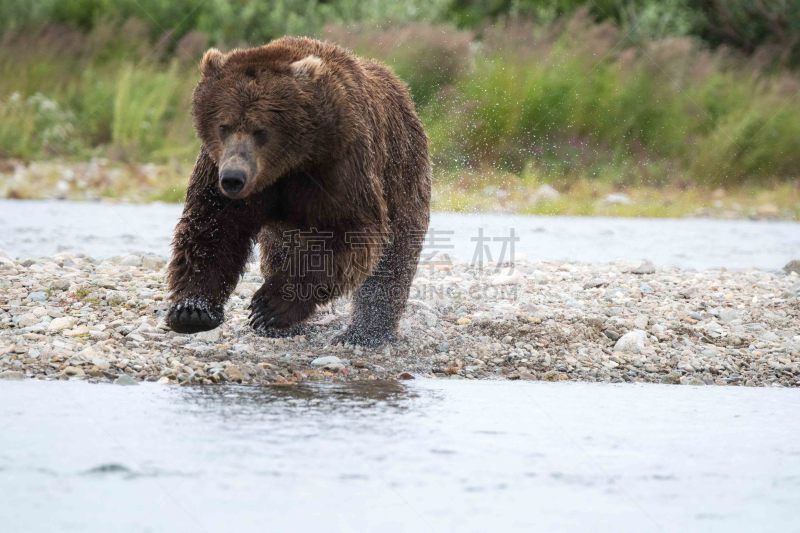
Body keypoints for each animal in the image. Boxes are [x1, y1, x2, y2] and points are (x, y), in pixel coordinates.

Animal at [163, 36, 434, 344]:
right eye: (224, 125)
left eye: (261, 130)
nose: (233, 178)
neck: (288, 164)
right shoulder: (217, 168)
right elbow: (213, 225)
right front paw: (192, 310)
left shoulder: (339, 163)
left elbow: (348, 231)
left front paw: (269, 305)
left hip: (402, 173)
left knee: (394, 259)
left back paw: (365, 331)